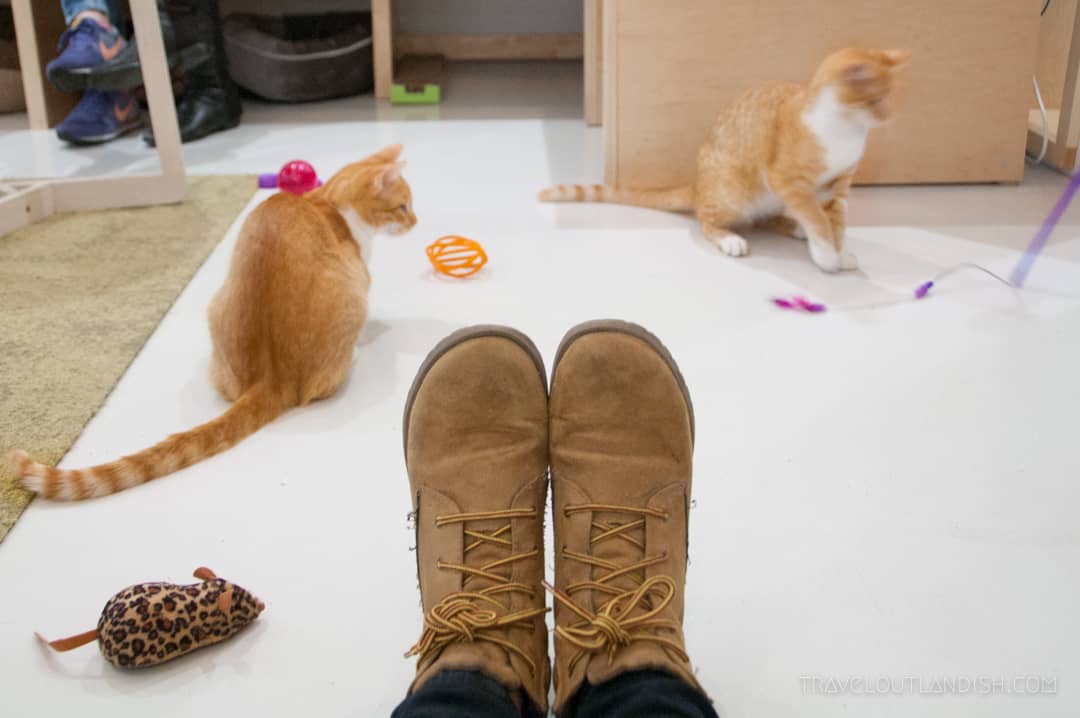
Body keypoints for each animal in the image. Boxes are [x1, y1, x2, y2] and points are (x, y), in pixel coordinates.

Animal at [12, 140, 416, 498]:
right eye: (403, 206)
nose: (416, 221)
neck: (327, 202)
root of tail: (271, 377)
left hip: (216, 305)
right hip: (349, 304)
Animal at [540, 47, 911, 272]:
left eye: (890, 97)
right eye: (876, 100)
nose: (890, 115)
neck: (844, 131)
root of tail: (697, 185)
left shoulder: (837, 188)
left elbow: (835, 222)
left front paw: (838, 250)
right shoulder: (789, 180)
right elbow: (818, 220)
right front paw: (826, 255)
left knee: (766, 219)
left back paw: (794, 227)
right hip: (736, 191)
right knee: (710, 221)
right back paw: (732, 238)